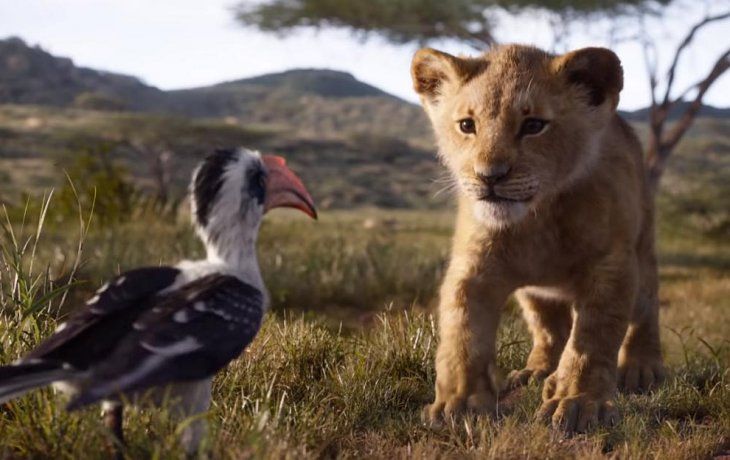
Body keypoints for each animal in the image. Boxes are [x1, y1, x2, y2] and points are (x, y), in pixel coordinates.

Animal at [410, 44, 665, 432]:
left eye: (533, 126)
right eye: (467, 125)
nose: (490, 176)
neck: (536, 219)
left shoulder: (611, 267)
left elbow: (592, 340)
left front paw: (578, 403)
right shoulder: (473, 269)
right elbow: (462, 335)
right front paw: (459, 404)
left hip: (642, 251)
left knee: (646, 308)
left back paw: (640, 368)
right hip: (534, 293)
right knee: (549, 328)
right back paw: (538, 371)